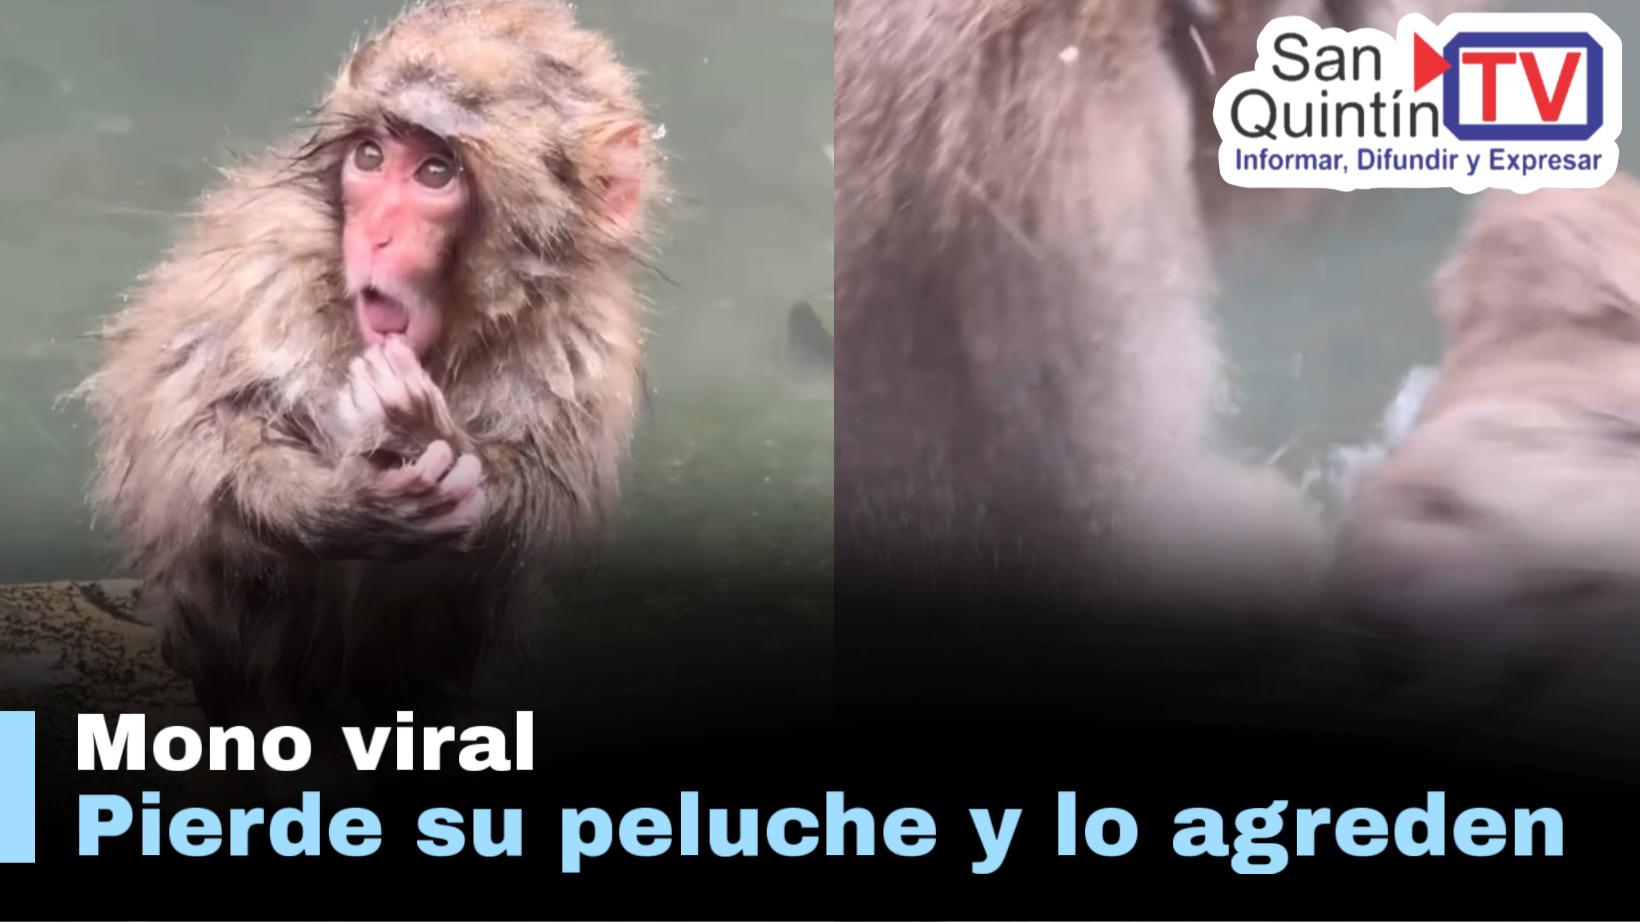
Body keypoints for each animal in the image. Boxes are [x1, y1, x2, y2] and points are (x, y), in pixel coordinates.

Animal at [79, 0, 657, 727]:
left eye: (435, 172)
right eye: (371, 157)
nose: (375, 231)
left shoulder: (579, 340)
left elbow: (541, 497)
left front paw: (423, 434)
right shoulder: (267, 264)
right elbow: (195, 433)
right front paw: (346, 508)